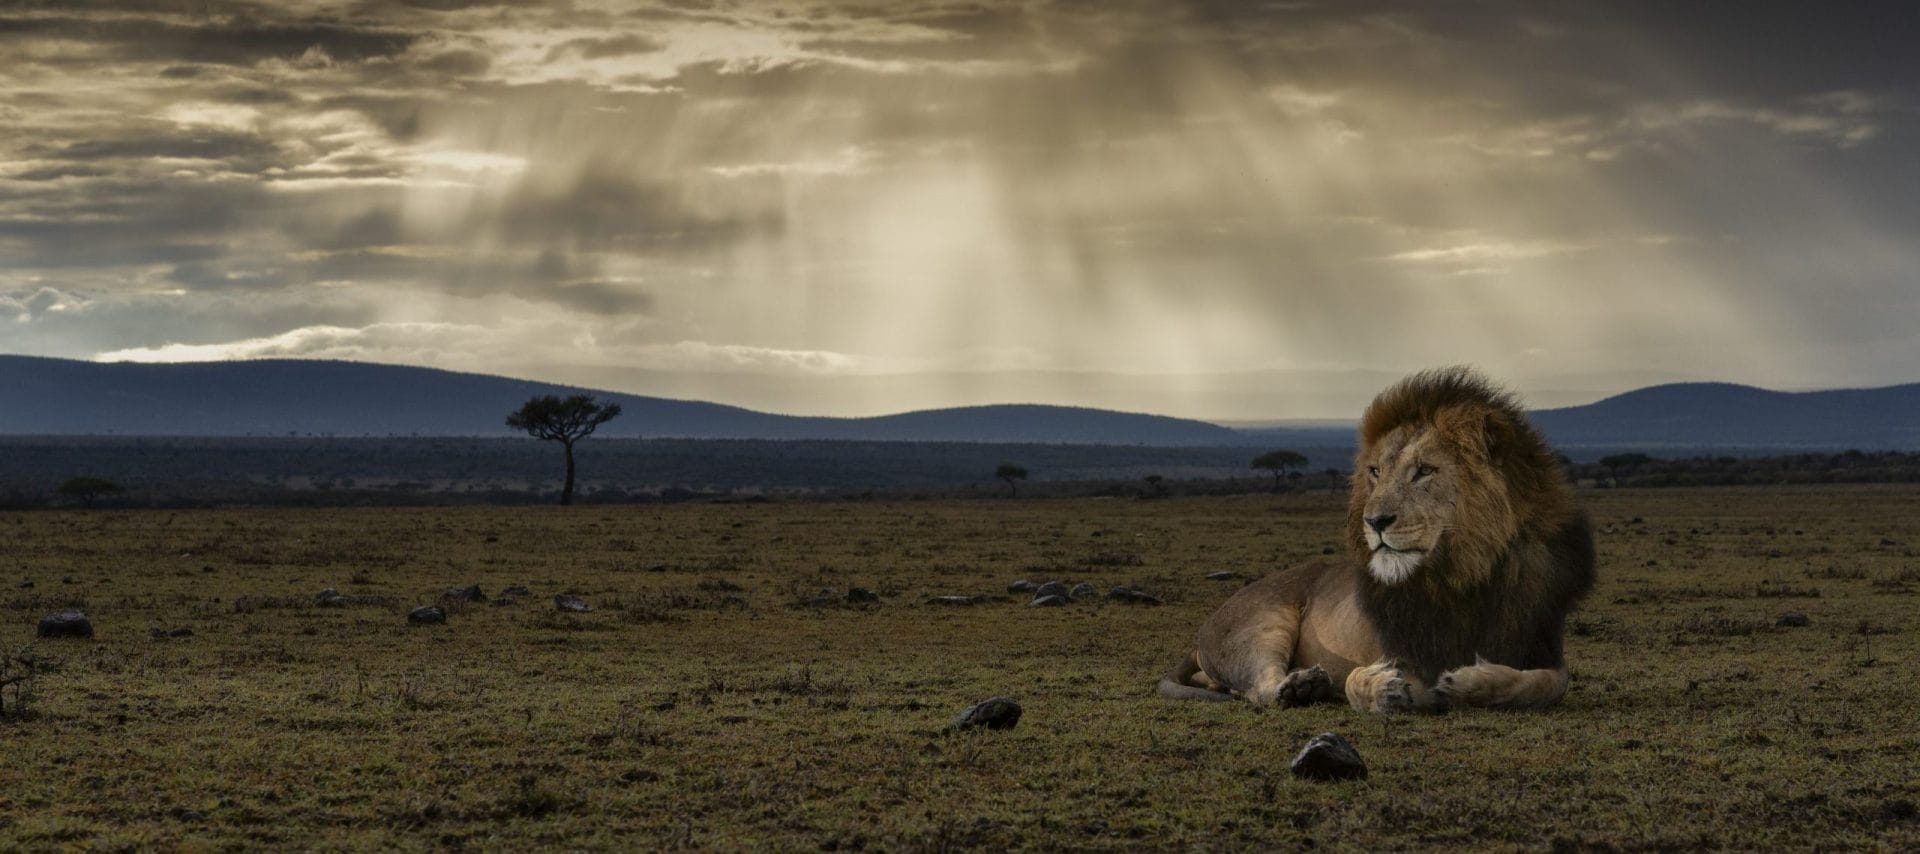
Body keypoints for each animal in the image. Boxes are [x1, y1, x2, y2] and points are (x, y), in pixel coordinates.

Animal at [1159, 370, 1597, 710]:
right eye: (1375, 472)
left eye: (1424, 471)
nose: (1374, 521)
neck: (1457, 577)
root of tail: (1203, 629)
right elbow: (1357, 680)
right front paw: (1383, 689)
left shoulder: (1543, 643)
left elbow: (1546, 685)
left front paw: (1467, 683)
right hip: (1262, 623)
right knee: (1257, 689)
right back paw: (1301, 686)